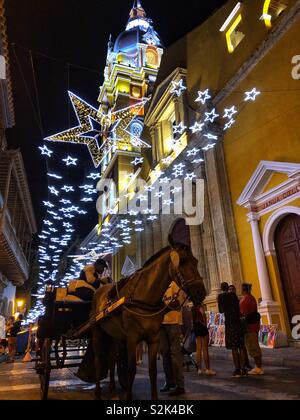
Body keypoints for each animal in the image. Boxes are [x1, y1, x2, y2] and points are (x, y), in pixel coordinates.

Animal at [92, 240, 207, 400]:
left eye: (196, 261)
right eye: (183, 261)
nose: (200, 292)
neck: (144, 296)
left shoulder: (154, 339)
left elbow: (153, 371)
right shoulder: (132, 337)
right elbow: (131, 369)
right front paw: (128, 396)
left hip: (115, 335)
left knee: (111, 358)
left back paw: (112, 390)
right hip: (97, 332)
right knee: (97, 359)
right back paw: (97, 391)